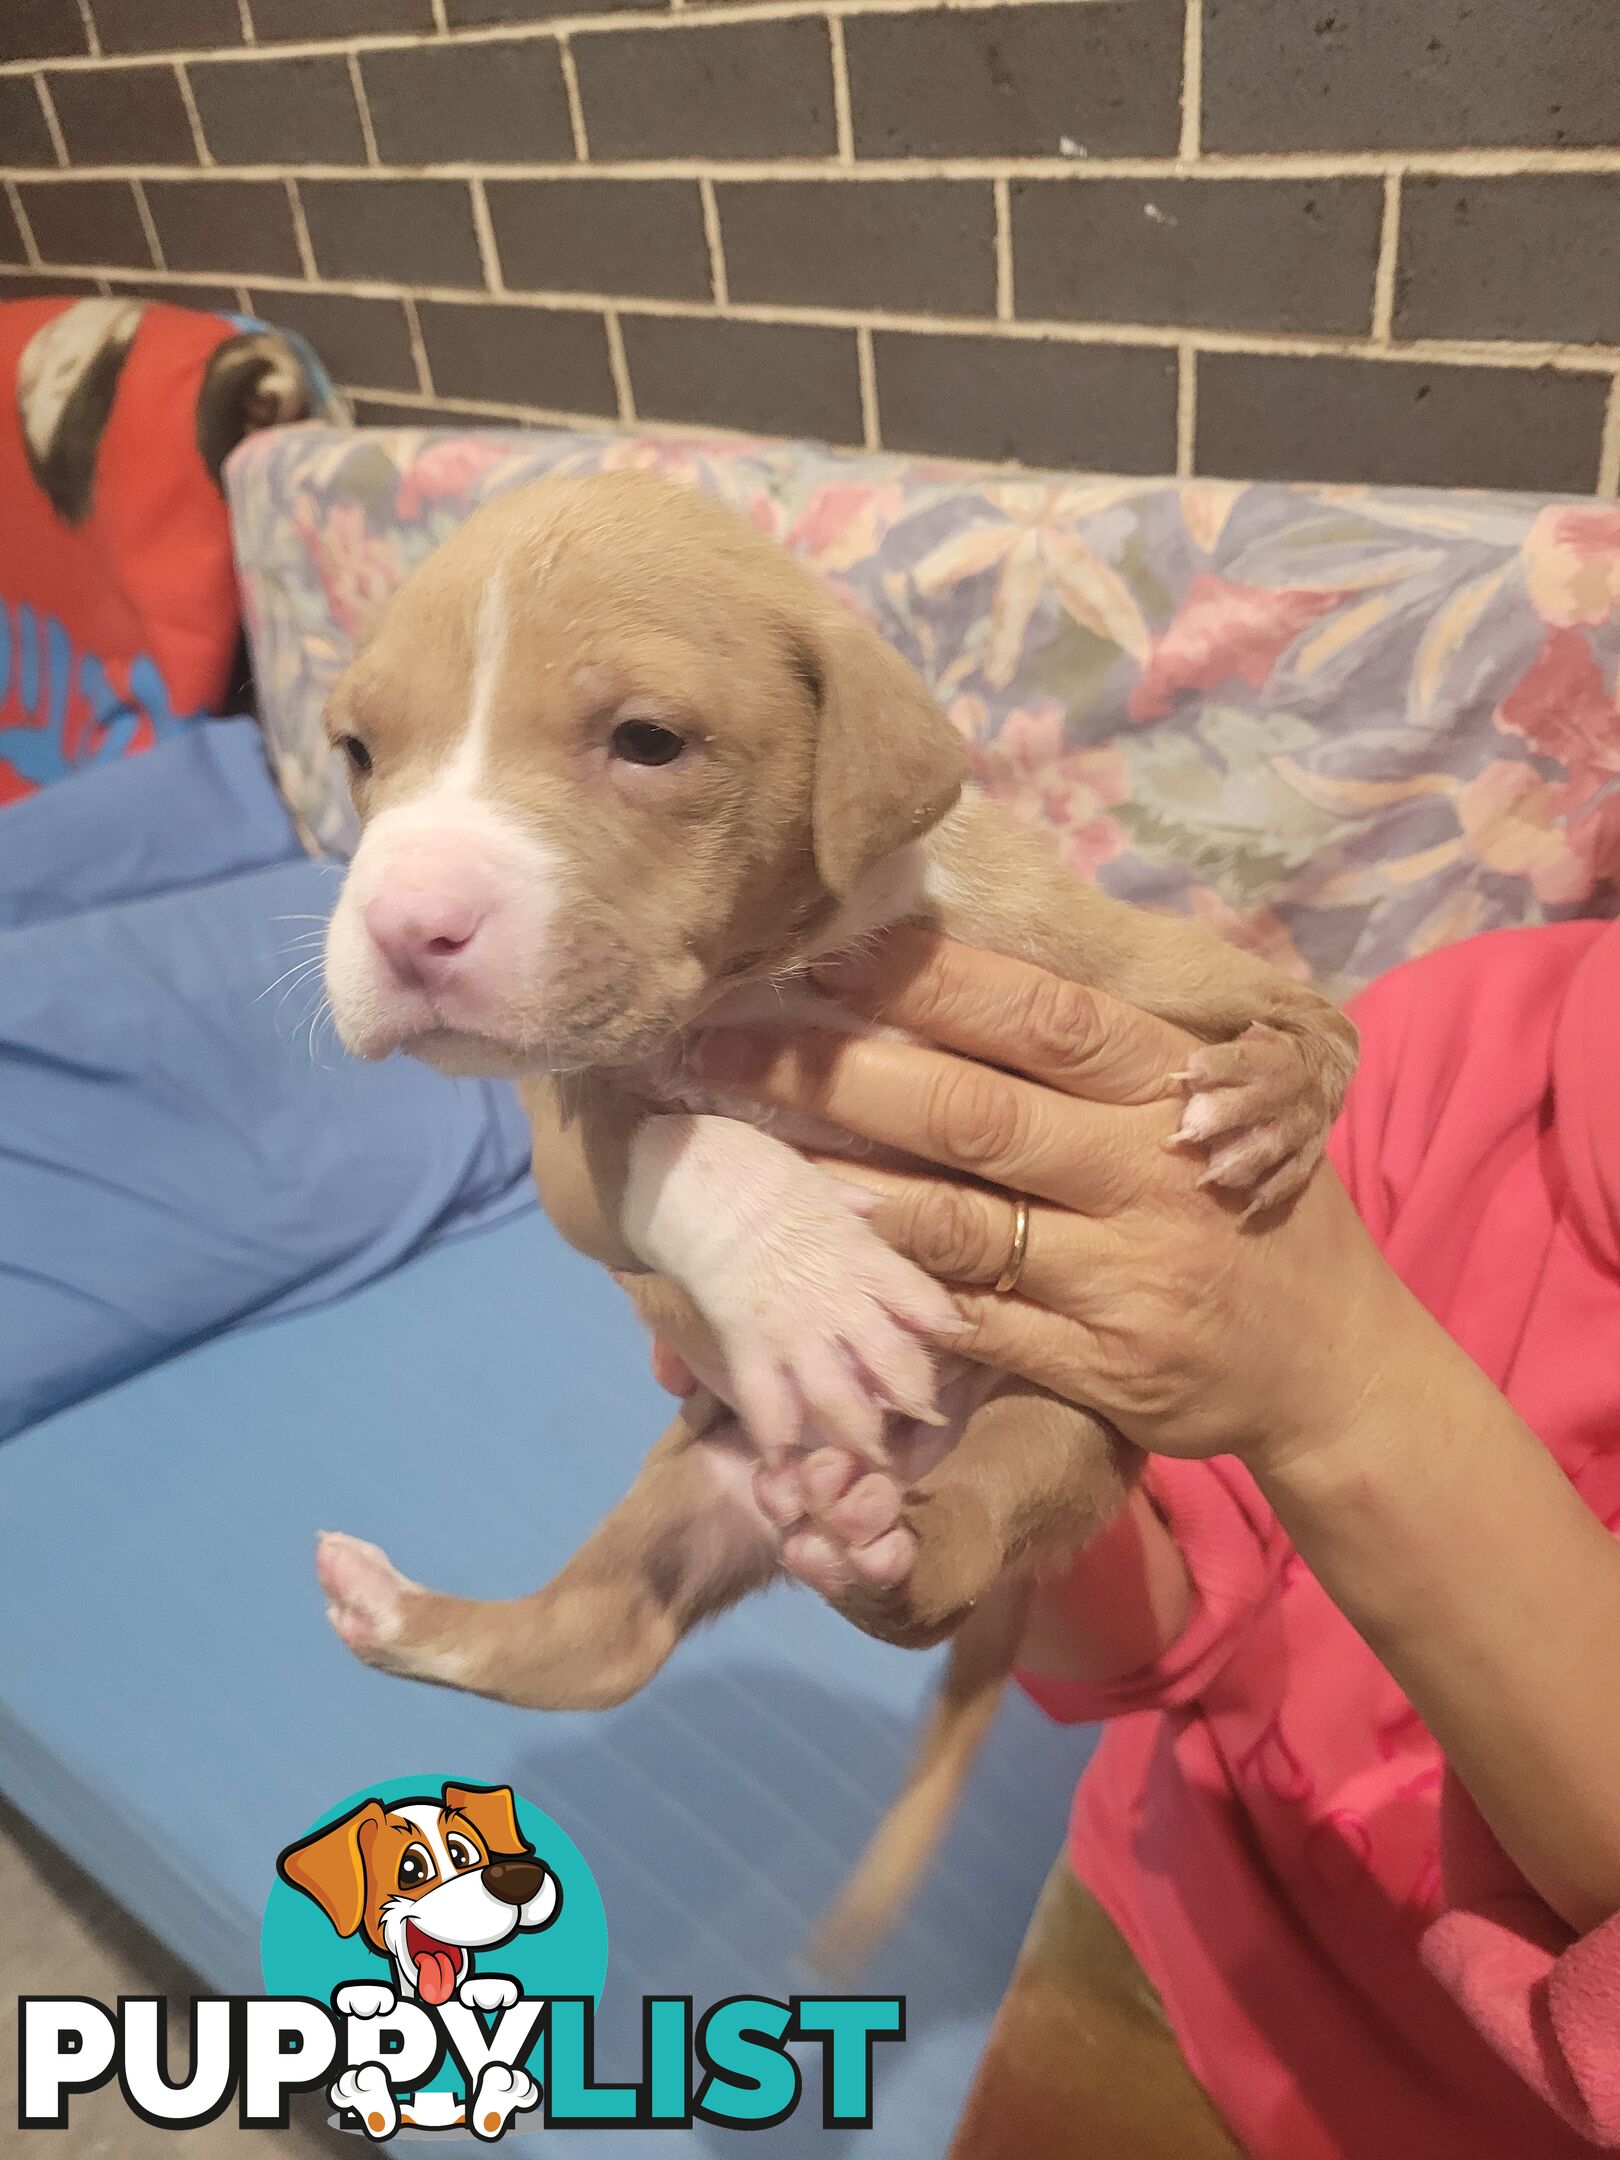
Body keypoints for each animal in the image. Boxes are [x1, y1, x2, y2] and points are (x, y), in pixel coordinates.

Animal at [311, 473, 1347, 1961]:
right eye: (355, 750)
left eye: (647, 740)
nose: (404, 927)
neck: (790, 968)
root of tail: (879, 1475)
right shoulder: (579, 1132)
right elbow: (681, 1140)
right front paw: (809, 1282)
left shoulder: (1139, 964)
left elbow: (1308, 1014)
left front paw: (1270, 1099)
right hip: (703, 1474)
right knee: (594, 1645)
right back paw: (403, 1610)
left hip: (1066, 1429)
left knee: (955, 1555)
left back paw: (895, 1551)